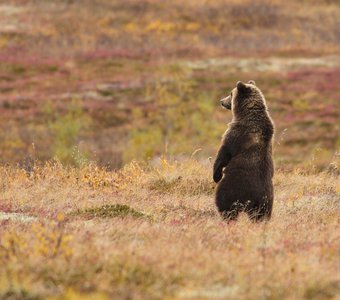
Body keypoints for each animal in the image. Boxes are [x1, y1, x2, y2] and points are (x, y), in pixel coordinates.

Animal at [214, 79, 274, 220]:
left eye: (231, 93)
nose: (221, 101)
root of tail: (255, 197)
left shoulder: (237, 133)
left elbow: (223, 154)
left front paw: (216, 175)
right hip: (266, 201)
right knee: (261, 215)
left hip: (233, 187)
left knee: (225, 204)